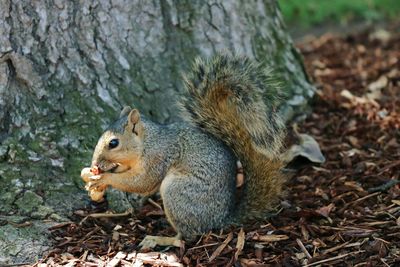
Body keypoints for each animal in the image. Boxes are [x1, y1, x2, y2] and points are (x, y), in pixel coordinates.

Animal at [80, 54, 284, 247]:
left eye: (113, 143)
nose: (95, 163)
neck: (147, 142)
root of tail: (220, 220)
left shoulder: (158, 157)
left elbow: (142, 183)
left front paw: (104, 178)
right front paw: (91, 176)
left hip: (177, 191)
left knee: (187, 236)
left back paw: (161, 239)